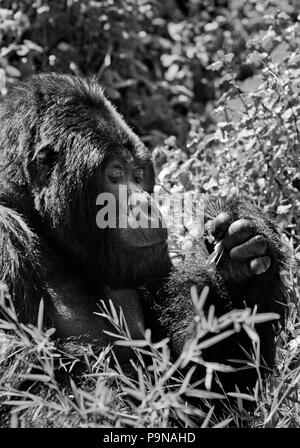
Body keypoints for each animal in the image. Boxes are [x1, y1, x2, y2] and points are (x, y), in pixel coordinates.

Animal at [0, 73, 288, 396]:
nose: (148, 206)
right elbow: (29, 379)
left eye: (137, 175)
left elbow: (210, 384)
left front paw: (240, 270)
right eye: (114, 174)